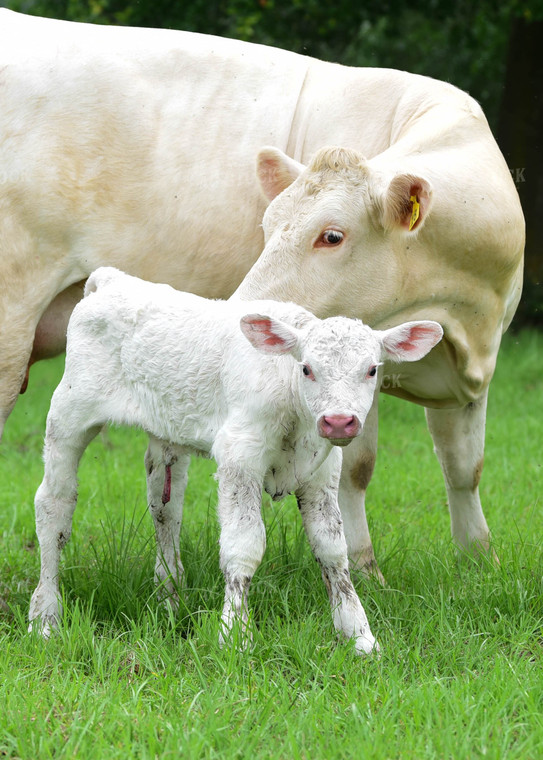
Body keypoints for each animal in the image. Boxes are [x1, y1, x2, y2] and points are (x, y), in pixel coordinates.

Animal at [1, 10, 528, 576]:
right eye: (268, 225)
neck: (459, 320)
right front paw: (366, 568)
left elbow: (464, 467)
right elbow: (357, 468)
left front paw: (480, 559)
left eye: (332, 235)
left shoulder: (467, 367)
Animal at [27, 266, 444, 648]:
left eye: (372, 370)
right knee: (54, 507)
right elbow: (243, 545)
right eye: (307, 368)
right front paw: (235, 636)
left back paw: (169, 600)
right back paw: (45, 617)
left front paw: (359, 636)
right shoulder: (238, 456)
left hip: (165, 435)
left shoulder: (322, 471)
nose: (339, 421)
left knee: (165, 509)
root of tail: (111, 279)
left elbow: (332, 550)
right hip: (69, 412)